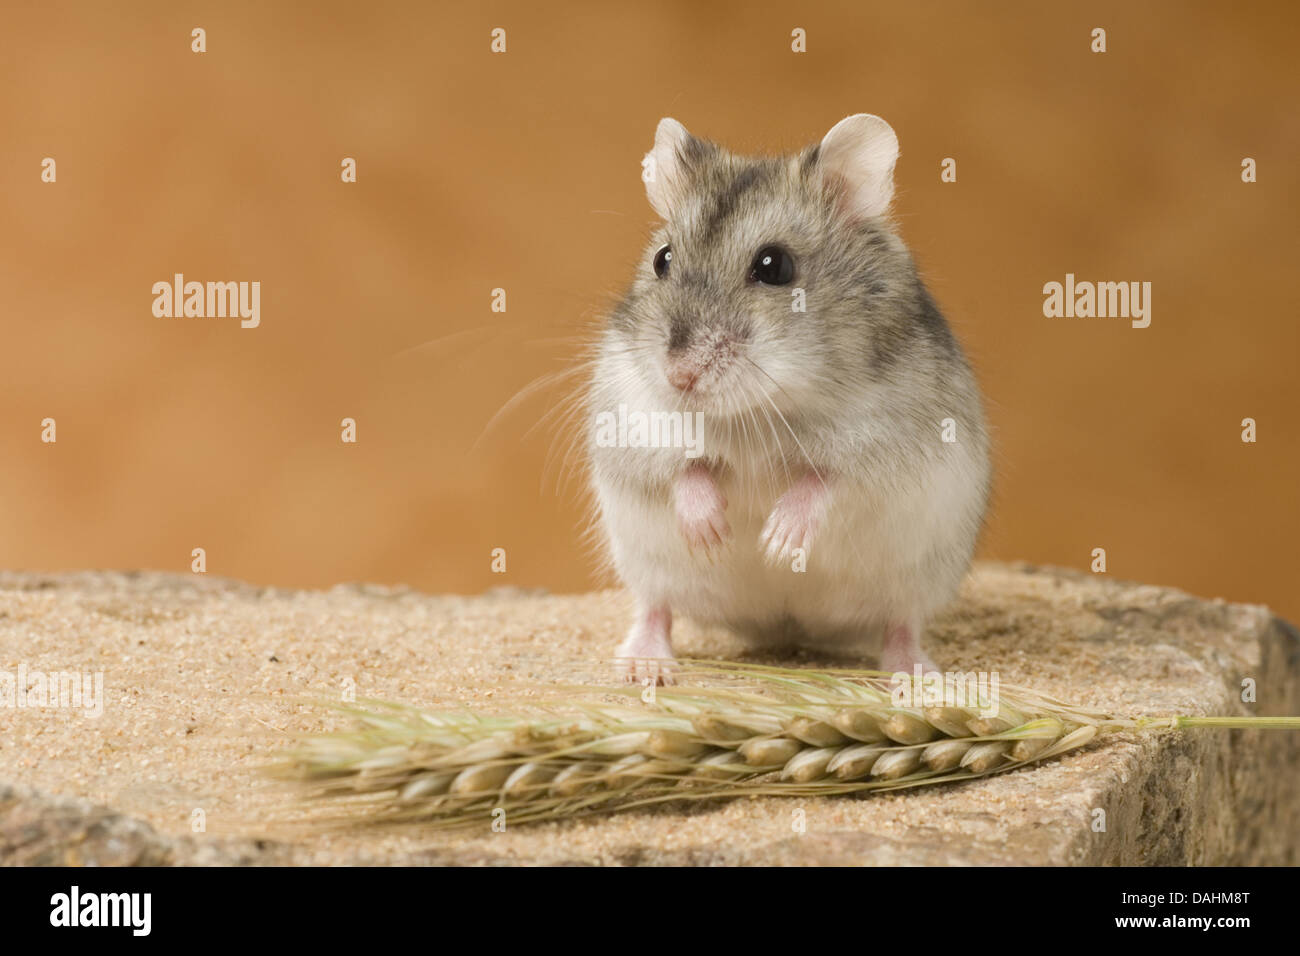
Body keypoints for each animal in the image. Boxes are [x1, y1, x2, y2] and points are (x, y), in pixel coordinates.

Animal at [587, 114, 991, 683]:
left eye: (774, 266)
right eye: (662, 260)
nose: (679, 376)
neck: (755, 410)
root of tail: (786, 627)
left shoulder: (891, 445)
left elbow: (824, 480)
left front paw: (777, 541)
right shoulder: (633, 418)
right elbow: (684, 470)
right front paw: (713, 532)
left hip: (918, 577)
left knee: (900, 625)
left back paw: (917, 677)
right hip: (644, 561)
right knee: (654, 608)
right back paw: (646, 667)